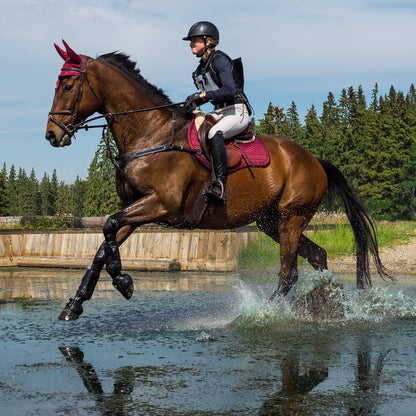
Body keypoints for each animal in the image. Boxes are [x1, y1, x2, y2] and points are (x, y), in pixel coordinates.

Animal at [44, 40, 386, 320]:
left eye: (69, 86)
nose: (52, 135)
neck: (150, 134)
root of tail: (315, 161)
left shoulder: (161, 205)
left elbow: (109, 227)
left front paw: (123, 282)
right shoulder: (136, 207)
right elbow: (104, 244)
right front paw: (75, 304)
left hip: (291, 217)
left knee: (289, 272)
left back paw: (263, 312)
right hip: (271, 222)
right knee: (318, 256)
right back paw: (329, 306)